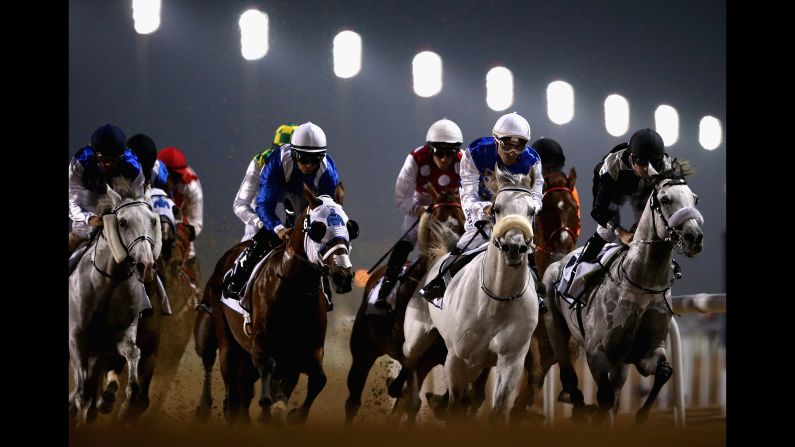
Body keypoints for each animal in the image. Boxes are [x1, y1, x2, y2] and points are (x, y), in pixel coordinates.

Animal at [68, 178, 162, 428]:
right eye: (122, 222)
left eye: (153, 220)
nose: (146, 266)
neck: (107, 284)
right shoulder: (76, 336)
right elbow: (83, 393)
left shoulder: (119, 336)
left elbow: (134, 354)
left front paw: (125, 404)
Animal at [202, 185, 358, 424]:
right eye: (318, 228)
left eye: (350, 227)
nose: (344, 276)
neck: (294, 292)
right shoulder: (260, 345)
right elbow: (267, 391)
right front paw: (270, 412)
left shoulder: (307, 351)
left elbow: (318, 380)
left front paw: (293, 414)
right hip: (227, 340)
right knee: (232, 392)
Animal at [344, 186, 466, 428]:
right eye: (436, 220)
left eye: (462, 221)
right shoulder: (409, 348)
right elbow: (409, 396)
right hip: (364, 348)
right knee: (353, 398)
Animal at [404, 168, 540, 424]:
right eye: (496, 208)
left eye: (532, 210)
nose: (514, 247)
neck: (495, 302)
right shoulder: (456, 358)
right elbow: (455, 406)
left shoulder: (510, 360)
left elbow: (497, 409)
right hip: (416, 338)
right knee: (410, 360)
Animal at [544, 159, 704, 426]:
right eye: (665, 199)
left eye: (695, 198)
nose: (695, 237)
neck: (642, 285)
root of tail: (557, 262)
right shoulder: (597, 354)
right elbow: (604, 398)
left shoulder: (648, 351)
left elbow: (664, 372)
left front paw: (641, 415)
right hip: (556, 329)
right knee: (569, 377)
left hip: (620, 364)